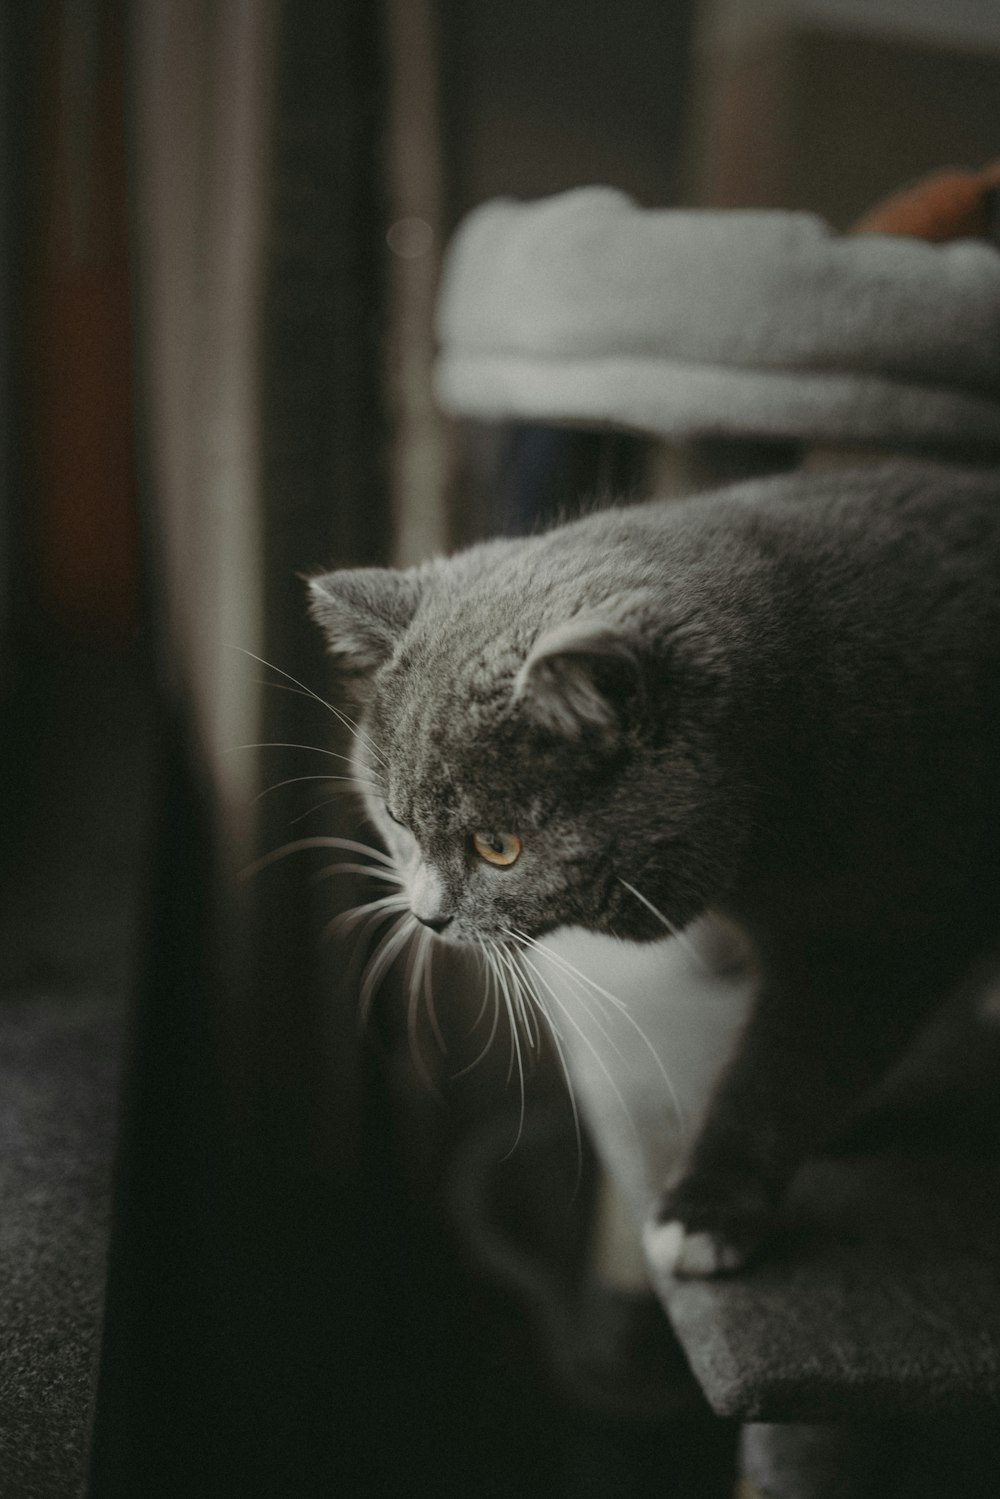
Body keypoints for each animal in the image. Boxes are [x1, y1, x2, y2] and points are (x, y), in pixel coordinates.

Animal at [307, 458, 1000, 1277]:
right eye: (398, 819)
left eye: (498, 846)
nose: (426, 915)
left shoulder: (888, 915)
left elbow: (793, 1061)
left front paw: (703, 1210)